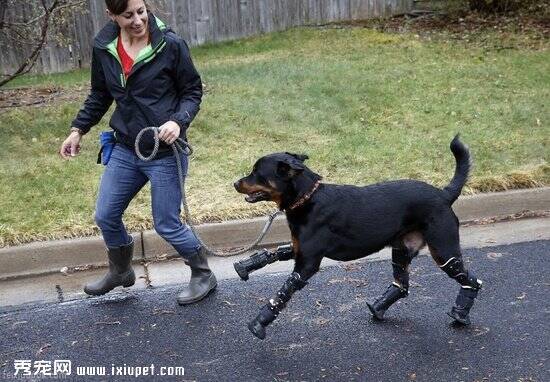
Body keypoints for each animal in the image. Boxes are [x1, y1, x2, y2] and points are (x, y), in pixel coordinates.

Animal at [235, 136, 486, 338]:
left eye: (257, 172)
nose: (235, 182)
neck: (308, 198)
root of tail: (444, 195)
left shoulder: (307, 264)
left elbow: (281, 295)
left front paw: (259, 323)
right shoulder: (301, 250)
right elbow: (277, 252)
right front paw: (246, 265)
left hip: (443, 251)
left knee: (472, 280)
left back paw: (460, 314)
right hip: (402, 250)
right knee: (401, 285)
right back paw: (378, 308)